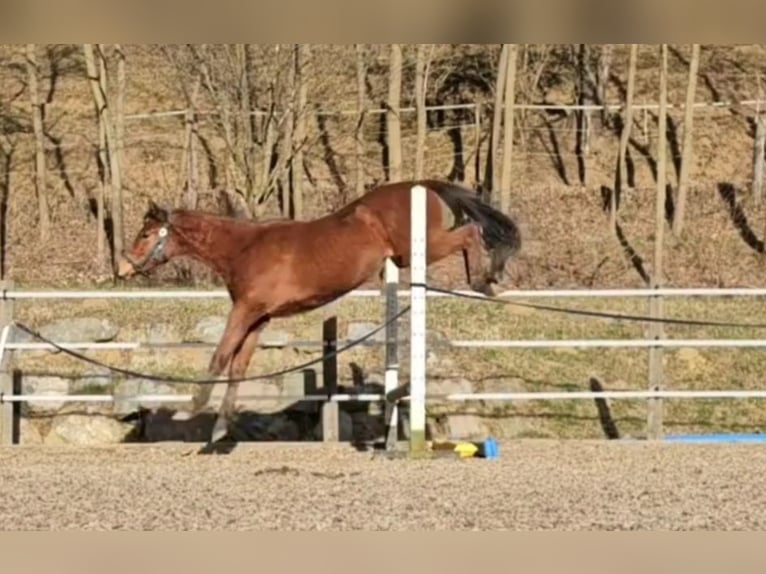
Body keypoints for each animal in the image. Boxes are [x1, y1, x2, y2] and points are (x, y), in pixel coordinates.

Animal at [117, 178, 520, 448]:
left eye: (145, 234)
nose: (122, 268)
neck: (244, 248)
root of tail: (418, 185)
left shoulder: (246, 310)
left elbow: (220, 357)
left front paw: (193, 406)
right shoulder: (258, 319)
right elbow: (237, 368)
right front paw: (219, 429)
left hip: (420, 248)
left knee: (472, 231)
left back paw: (487, 278)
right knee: (470, 231)